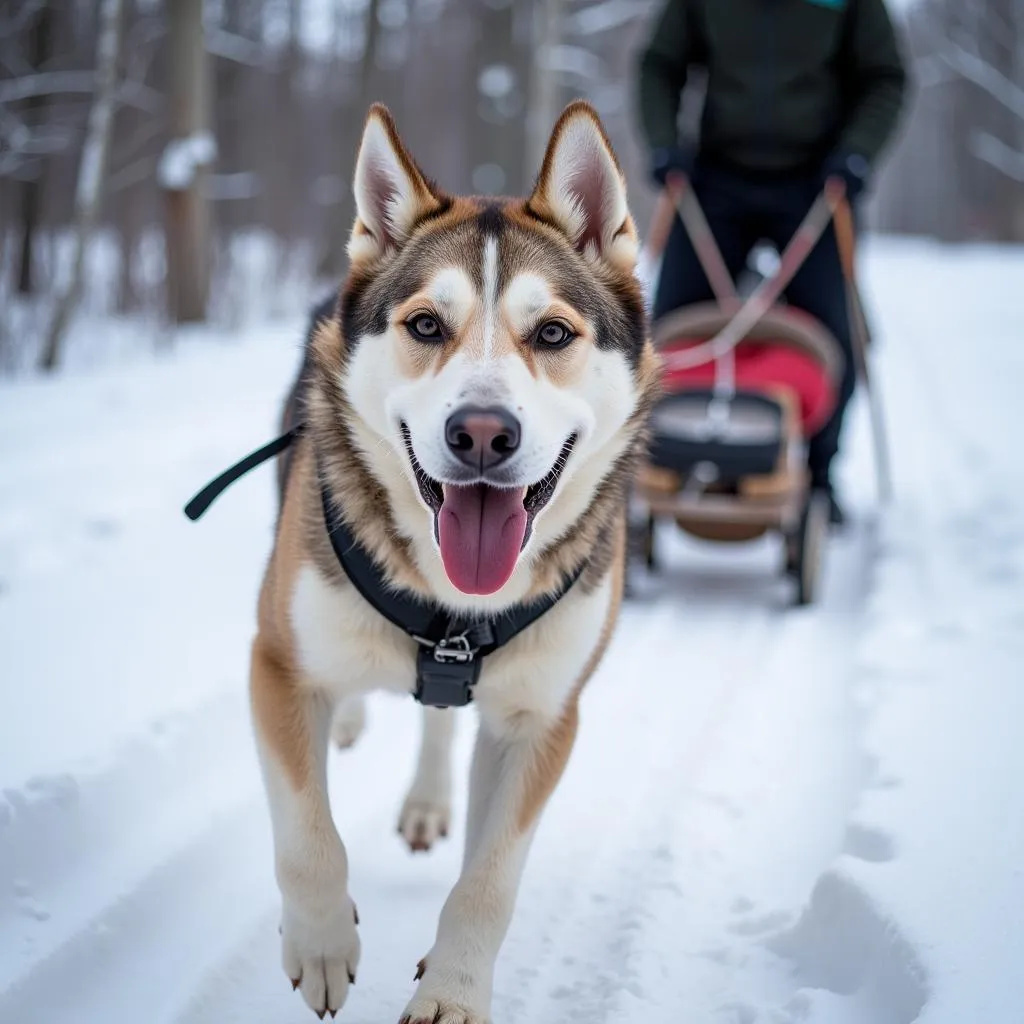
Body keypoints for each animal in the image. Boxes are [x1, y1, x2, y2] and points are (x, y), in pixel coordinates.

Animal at [251, 97, 659, 1024]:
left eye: (553, 332)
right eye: (426, 326)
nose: (480, 433)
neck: (453, 610)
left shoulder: (542, 718)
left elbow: (491, 881)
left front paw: (454, 988)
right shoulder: (276, 665)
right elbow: (306, 836)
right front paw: (321, 943)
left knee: (437, 718)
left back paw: (428, 798)